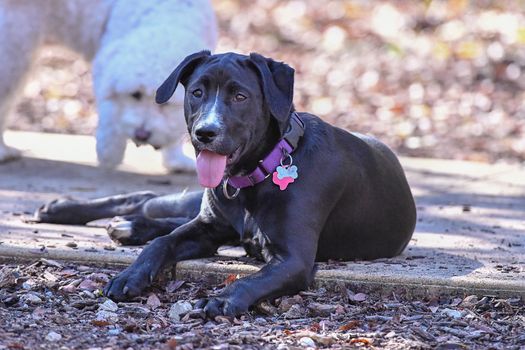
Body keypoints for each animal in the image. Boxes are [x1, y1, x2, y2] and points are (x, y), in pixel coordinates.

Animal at [0, 0, 217, 171]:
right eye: (135, 94)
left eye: (165, 104)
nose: (142, 134)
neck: (163, 16)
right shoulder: (106, 66)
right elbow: (110, 112)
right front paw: (109, 152)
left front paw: (176, 159)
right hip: (13, 49)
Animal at [34, 51, 416, 318]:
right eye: (197, 92)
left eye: (240, 96)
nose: (205, 133)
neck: (256, 175)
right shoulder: (206, 227)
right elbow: (162, 243)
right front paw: (131, 275)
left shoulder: (293, 259)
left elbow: (252, 278)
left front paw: (222, 300)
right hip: (197, 208)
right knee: (146, 199)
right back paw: (65, 209)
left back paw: (127, 226)